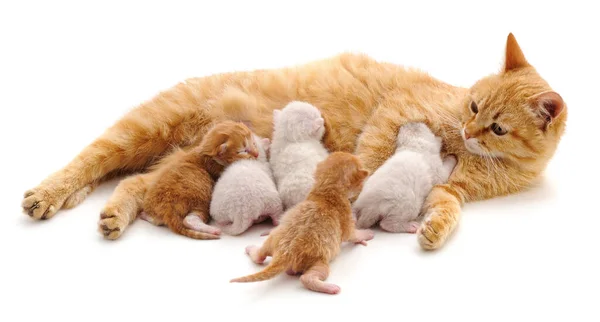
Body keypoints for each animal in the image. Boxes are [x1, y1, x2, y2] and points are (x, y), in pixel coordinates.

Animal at [127, 121, 256, 239]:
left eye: (253, 142)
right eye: (243, 151)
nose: (256, 154)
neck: (204, 151)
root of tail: (169, 212)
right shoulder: (216, 169)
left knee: (157, 220)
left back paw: (145, 215)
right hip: (200, 202)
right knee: (189, 219)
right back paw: (211, 229)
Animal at [229, 152, 372, 296]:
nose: (361, 187)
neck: (327, 189)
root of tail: (284, 254)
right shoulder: (345, 215)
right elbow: (351, 234)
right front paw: (365, 234)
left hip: (273, 238)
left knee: (260, 255)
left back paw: (251, 249)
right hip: (317, 260)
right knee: (308, 277)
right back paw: (329, 287)